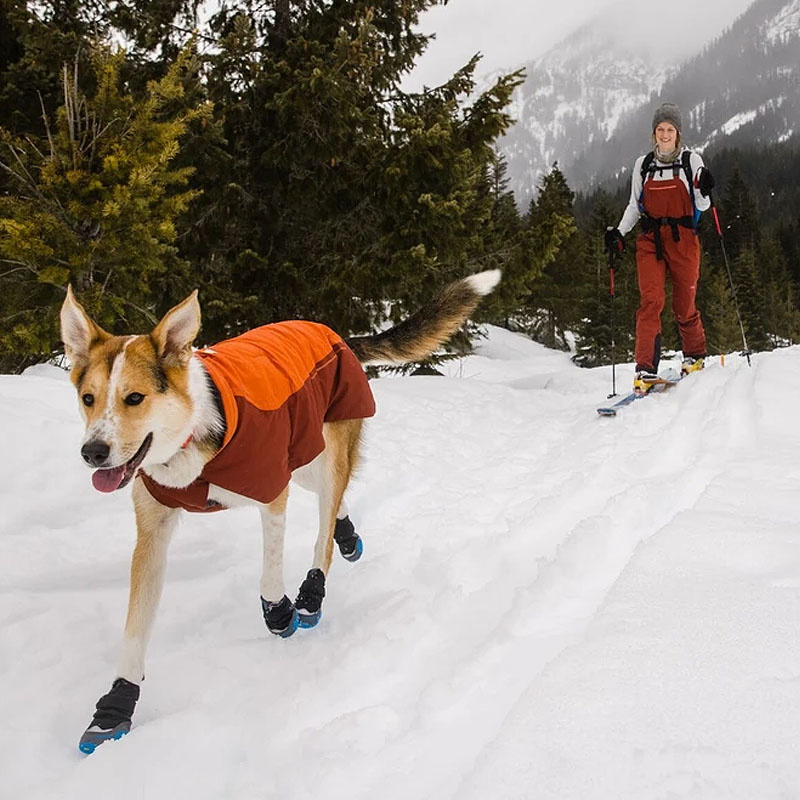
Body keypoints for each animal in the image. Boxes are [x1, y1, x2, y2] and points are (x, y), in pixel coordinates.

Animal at [61, 268, 500, 752]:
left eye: (134, 398)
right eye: (88, 398)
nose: (92, 452)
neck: (191, 441)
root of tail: (332, 332)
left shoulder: (272, 490)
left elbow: (270, 573)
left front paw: (280, 612)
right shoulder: (153, 530)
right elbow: (135, 629)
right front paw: (115, 707)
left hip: (322, 454)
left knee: (324, 527)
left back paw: (313, 591)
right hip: (306, 457)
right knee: (334, 503)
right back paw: (348, 535)